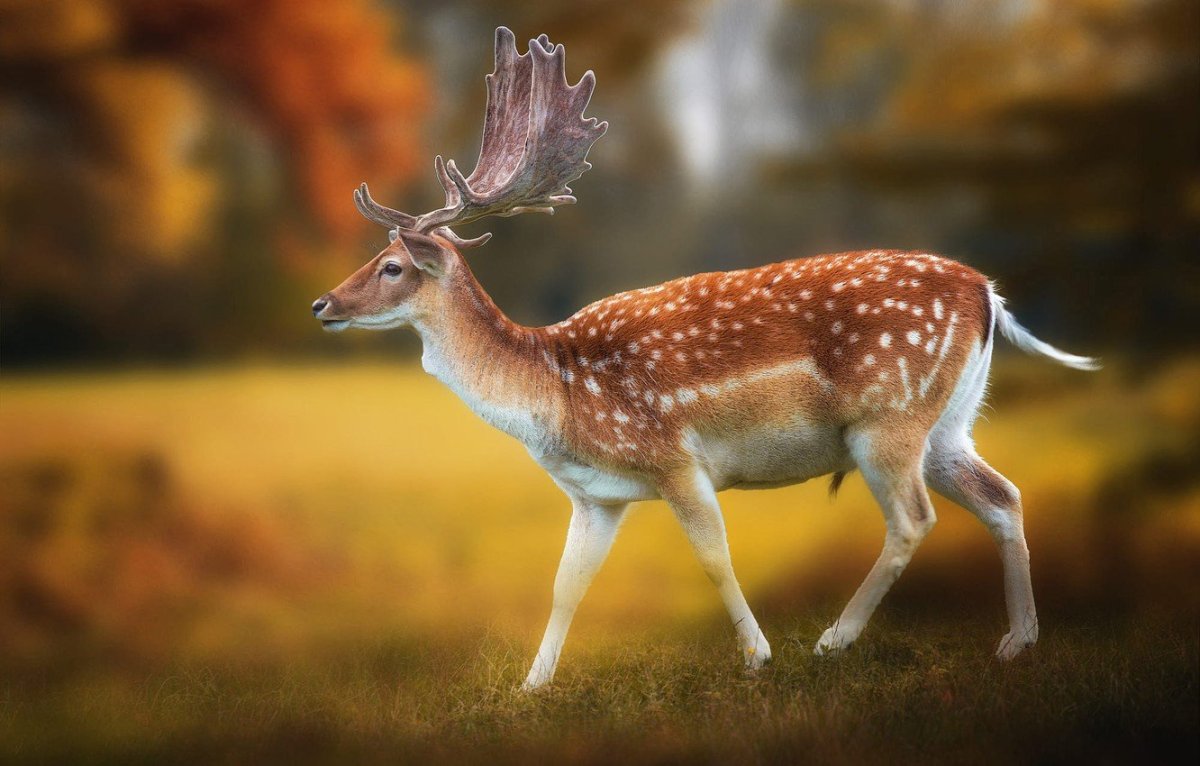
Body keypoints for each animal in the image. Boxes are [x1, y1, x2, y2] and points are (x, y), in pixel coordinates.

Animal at [311, 27, 1098, 690]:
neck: (556, 395)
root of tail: (986, 292)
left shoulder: (674, 456)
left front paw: (758, 655)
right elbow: (567, 583)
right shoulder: (595, 496)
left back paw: (834, 640)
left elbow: (714, 555)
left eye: (391, 266)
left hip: (889, 416)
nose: (322, 304)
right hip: (949, 423)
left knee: (913, 520)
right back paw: (1017, 641)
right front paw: (532, 686)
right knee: (1003, 495)